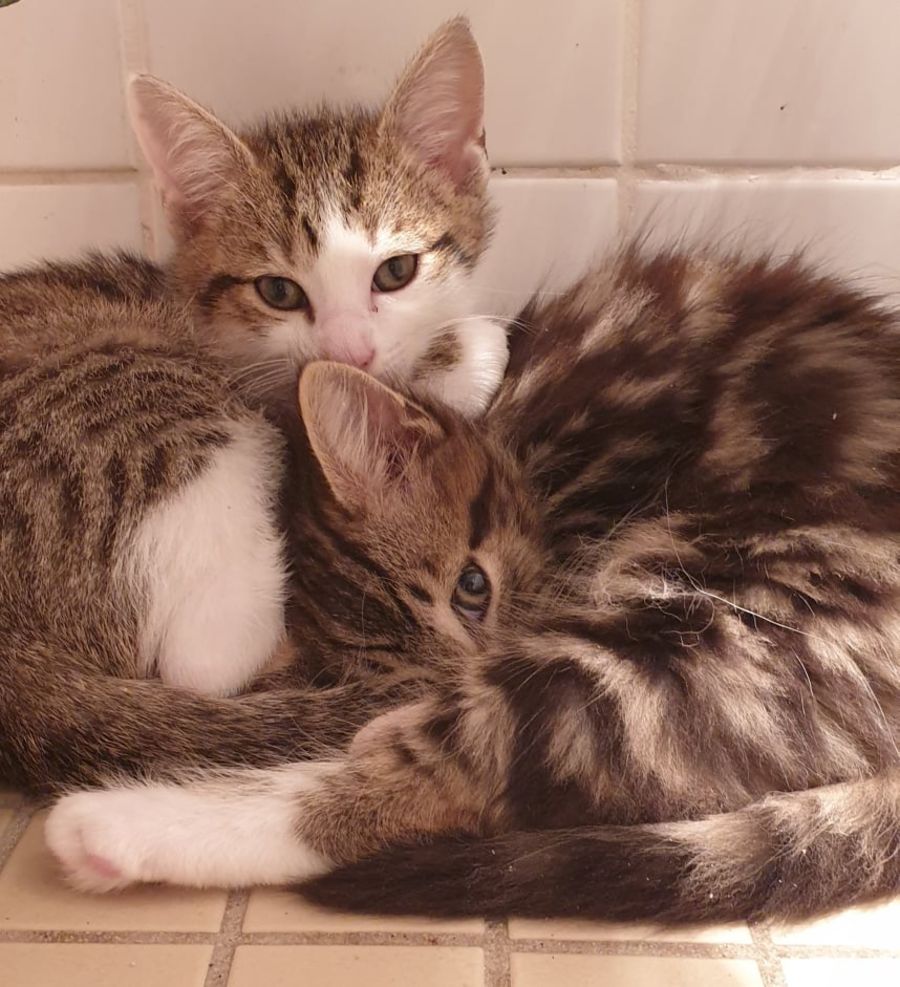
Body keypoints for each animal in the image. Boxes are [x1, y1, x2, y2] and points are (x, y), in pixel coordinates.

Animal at [46, 246, 900, 925]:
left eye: (472, 588)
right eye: (407, 670)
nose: (460, 669)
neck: (527, 453)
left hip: (723, 610)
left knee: (446, 777)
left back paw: (109, 827)